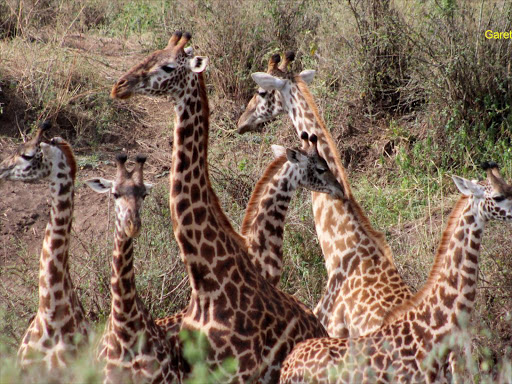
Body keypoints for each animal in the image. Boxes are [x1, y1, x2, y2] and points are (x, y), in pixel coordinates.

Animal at [111, 31, 328, 382]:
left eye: (167, 66)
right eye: (150, 54)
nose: (120, 86)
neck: (206, 285)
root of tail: (320, 328)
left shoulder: (239, 373)